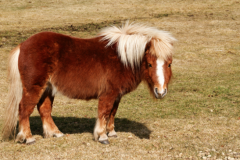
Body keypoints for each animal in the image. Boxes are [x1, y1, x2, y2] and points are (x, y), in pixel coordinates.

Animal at [1, 21, 176, 144]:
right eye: (150, 64)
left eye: (169, 64)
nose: (161, 92)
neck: (122, 59)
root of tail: (23, 45)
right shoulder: (108, 94)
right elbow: (104, 112)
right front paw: (102, 136)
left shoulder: (117, 95)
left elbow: (112, 112)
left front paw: (111, 132)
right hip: (34, 87)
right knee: (24, 109)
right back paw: (28, 138)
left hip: (48, 88)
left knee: (44, 109)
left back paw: (55, 133)